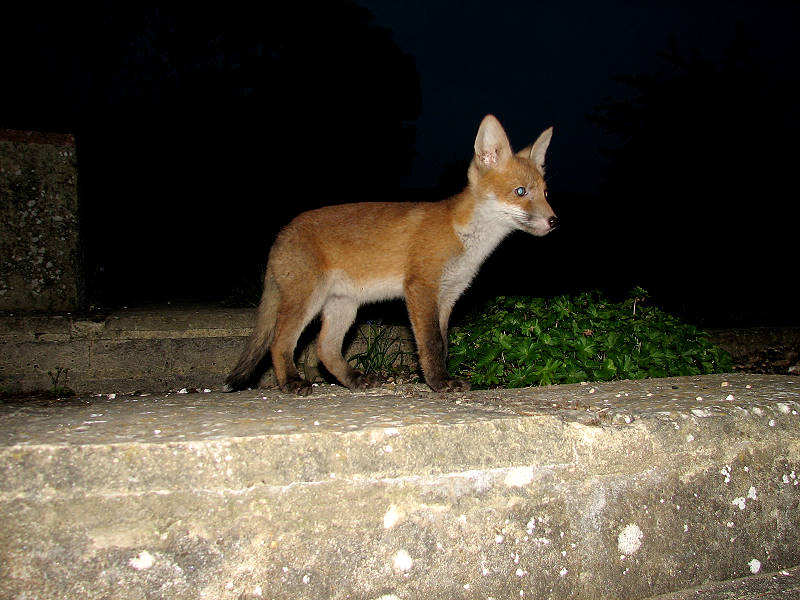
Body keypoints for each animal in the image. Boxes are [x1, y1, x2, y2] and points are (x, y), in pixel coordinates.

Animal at [224, 114, 557, 395]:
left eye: (545, 193)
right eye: (520, 192)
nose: (554, 221)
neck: (464, 238)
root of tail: (282, 233)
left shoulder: (448, 295)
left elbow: (444, 344)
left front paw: (441, 378)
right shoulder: (421, 289)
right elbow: (431, 344)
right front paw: (438, 383)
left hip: (344, 305)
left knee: (324, 349)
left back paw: (354, 380)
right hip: (307, 300)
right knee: (280, 343)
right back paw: (292, 383)